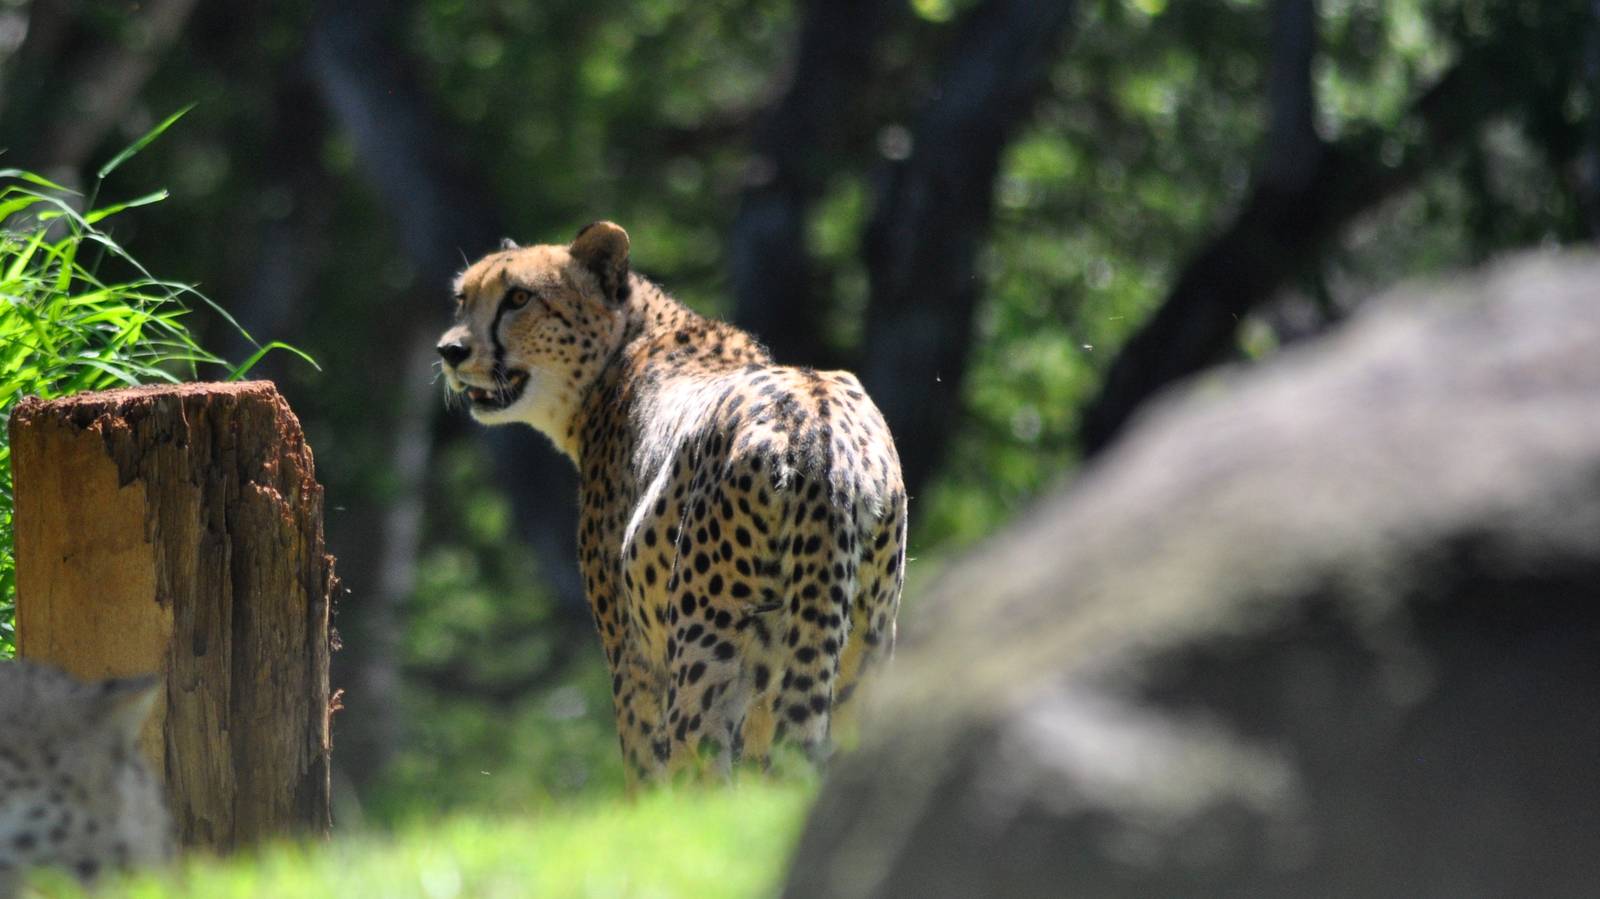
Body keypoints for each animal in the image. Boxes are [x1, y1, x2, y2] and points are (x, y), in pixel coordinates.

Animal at [437, 221, 906, 784]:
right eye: (463, 298)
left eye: (518, 298)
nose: (449, 350)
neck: (622, 350)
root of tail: (816, 418)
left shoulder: (633, 658)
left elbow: (644, 773)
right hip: (863, 648)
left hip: (706, 651)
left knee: (702, 775)